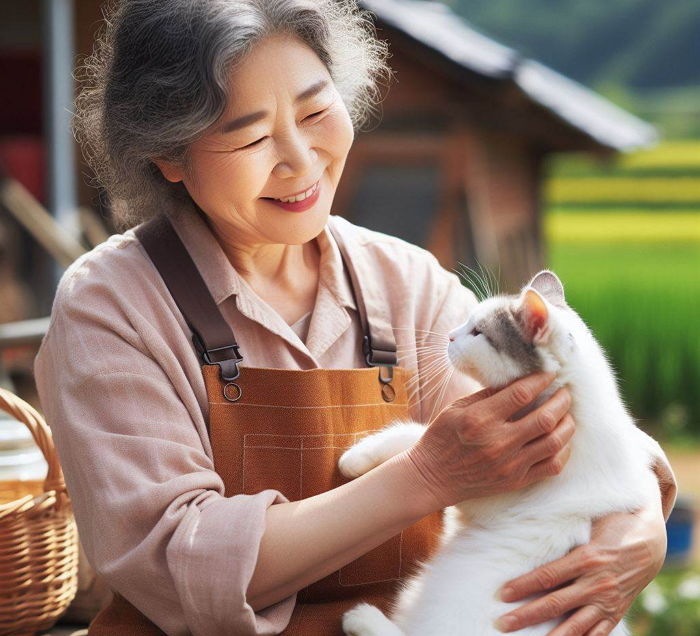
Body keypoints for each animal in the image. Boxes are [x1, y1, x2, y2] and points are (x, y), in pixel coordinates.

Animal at [340, 270, 660, 636]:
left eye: (478, 332)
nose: (450, 335)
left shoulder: (479, 500)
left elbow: (418, 434)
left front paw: (353, 458)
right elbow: (419, 435)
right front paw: (359, 457)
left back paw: (362, 618)